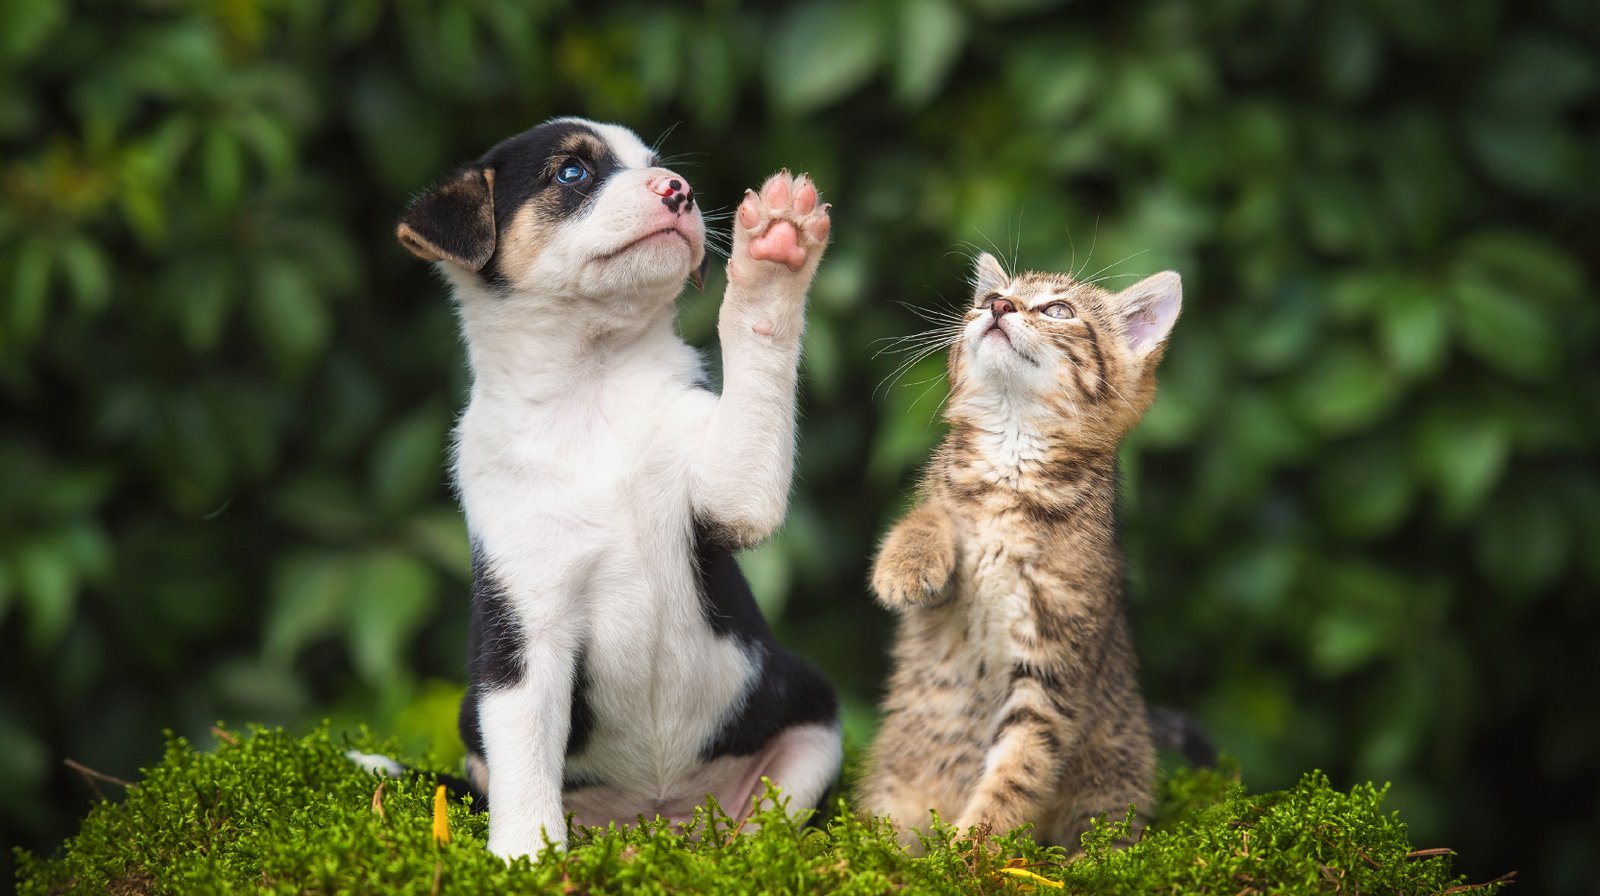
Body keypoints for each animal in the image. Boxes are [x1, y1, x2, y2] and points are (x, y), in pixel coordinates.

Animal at [392, 115, 838, 857]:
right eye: (572, 172)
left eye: (657, 164)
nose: (679, 190)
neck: (591, 384)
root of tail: (658, 819)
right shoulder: (524, 631)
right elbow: (524, 764)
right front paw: (526, 857)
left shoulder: (732, 494)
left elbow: (758, 335)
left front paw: (775, 251)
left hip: (811, 719)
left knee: (762, 826)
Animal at [864, 248, 1177, 851]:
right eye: (990, 297)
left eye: (1058, 310)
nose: (999, 307)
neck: (1012, 462)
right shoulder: (944, 534)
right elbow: (929, 514)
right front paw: (906, 565)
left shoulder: (1052, 665)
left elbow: (1019, 769)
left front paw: (969, 850)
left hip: (1115, 777)